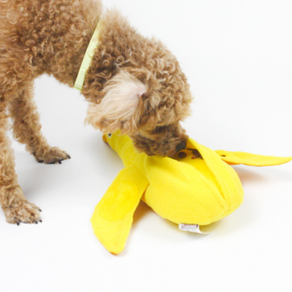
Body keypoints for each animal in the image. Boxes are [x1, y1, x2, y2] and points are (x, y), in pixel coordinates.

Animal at [0, 0, 194, 225]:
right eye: (160, 124)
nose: (181, 145)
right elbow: (4, 160)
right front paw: (16, 205)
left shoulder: (20, 79)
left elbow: (27, 119)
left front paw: (43, 151)